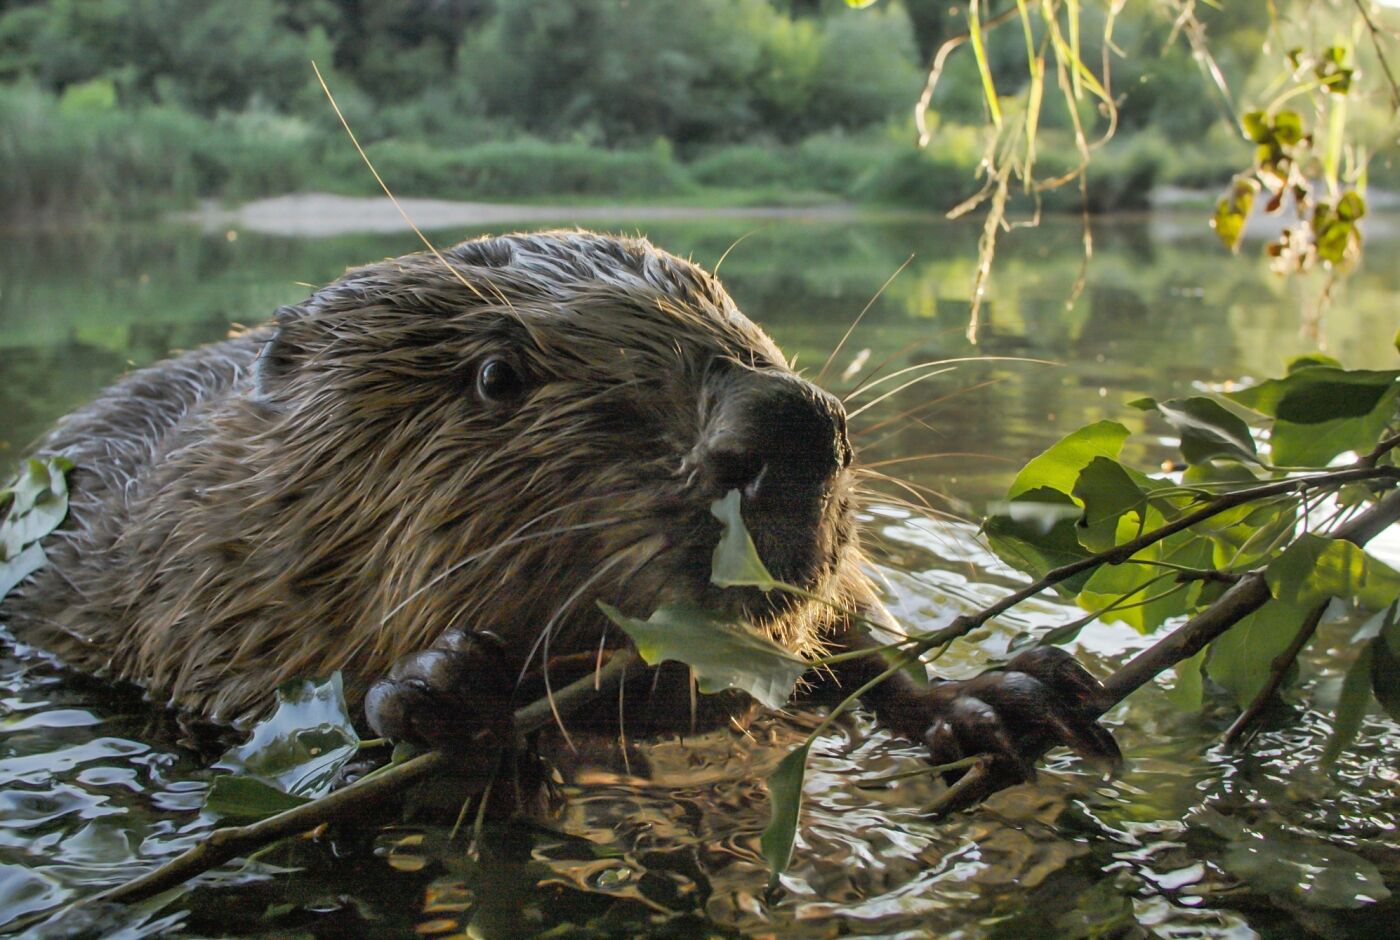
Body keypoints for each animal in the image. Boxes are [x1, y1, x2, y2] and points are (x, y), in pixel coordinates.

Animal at [0, 231, 1114, 790]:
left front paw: (1006, 693)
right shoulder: (183, 574)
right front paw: (441, 684)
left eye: (739, 316)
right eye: (496, 375)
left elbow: (851, 636)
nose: (792, 427)